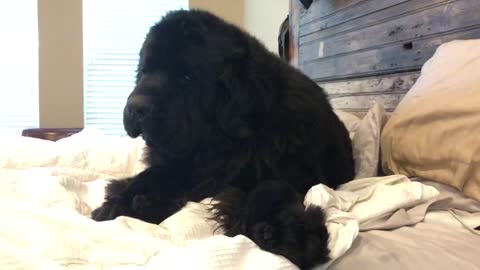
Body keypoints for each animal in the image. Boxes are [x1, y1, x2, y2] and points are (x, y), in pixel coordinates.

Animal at [92, 9, 354, 268]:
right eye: (144, 71)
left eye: (187, 78)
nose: (135, 107)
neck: (223, 143)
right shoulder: (183, 163)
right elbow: (156, 173)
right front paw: (124, 200)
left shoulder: (294, 170)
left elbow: (272, 185)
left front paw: (287, 233)